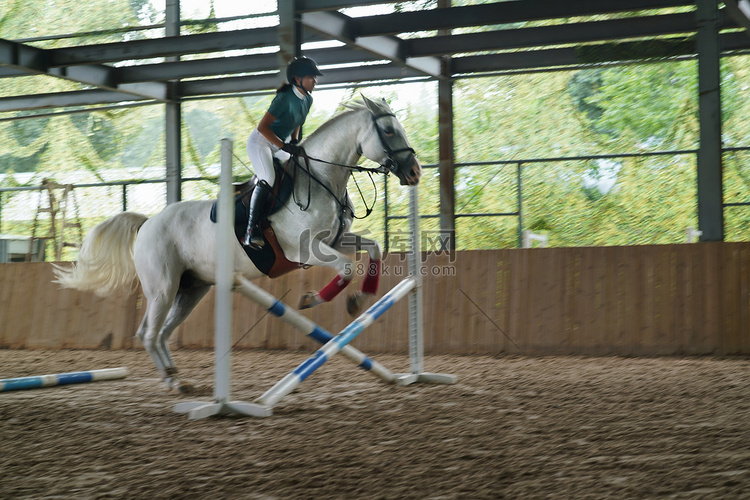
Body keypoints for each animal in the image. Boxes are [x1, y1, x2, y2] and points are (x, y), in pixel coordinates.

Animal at [57, 95, 424, 392]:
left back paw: (176, 378)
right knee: (148, 333)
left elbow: (374, 248)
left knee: (161, 333)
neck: (320, 180)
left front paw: (361, 298)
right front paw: (314, 299)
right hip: (163, 287)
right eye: (389, 131)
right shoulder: (304, 250)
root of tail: (148, 222)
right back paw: (172, 381)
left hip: (192, 289)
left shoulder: (336, 240)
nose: (415, 172)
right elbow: (346, 267)